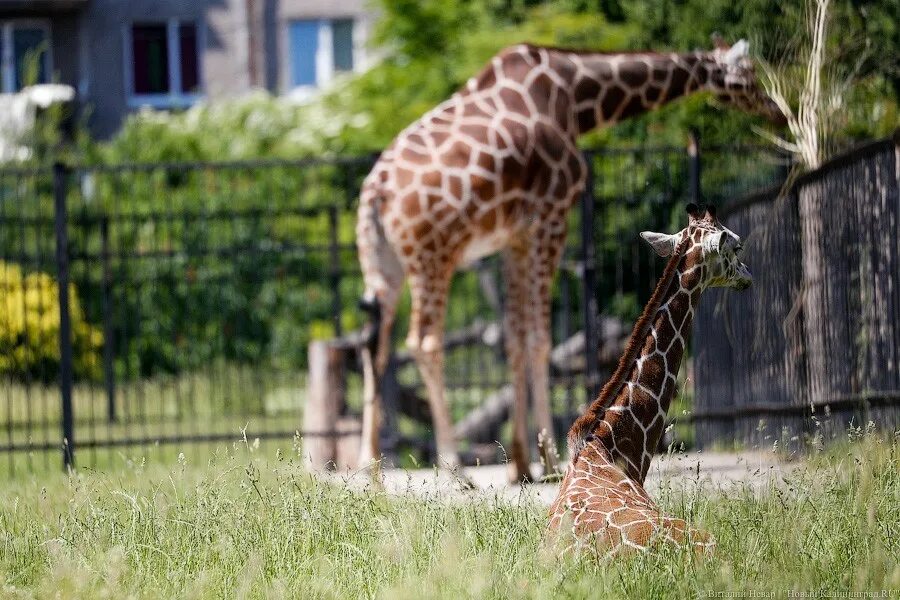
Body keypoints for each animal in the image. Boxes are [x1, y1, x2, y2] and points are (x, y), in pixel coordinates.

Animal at [356, 38, 784, 482]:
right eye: (747, 76)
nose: (778, 113)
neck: (574, 99)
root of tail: (375, 191)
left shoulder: (515, 235)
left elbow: (515, 337)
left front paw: (521, 462)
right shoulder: (552, 216)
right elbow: (540, 339)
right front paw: (549, 458)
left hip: (383, 264)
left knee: (373, 346)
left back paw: (370, 466)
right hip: (434, 254)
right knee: (423, 342)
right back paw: (454, 465)